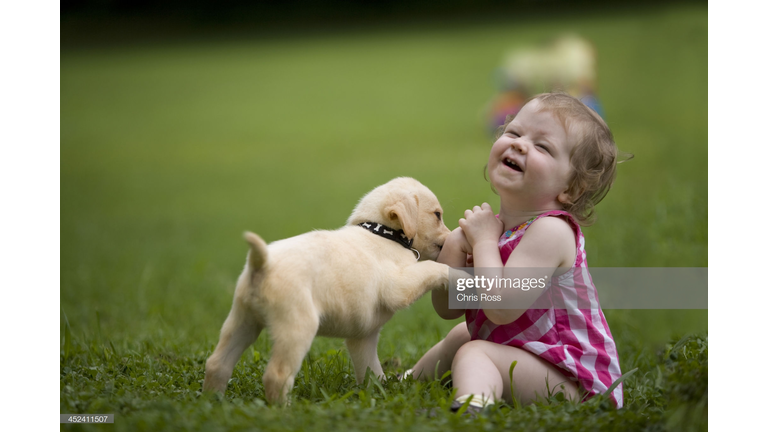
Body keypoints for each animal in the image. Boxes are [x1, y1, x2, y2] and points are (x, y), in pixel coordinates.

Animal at [204, 176, 452, 404]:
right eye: (437, 215)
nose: (450, 236)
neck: (382, 232)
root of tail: (262, 263)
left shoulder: (364, 336)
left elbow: (371, 371)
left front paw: (379, 393)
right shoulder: (399, 286)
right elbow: (430, 269)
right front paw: (454, 272)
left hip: (242, 321)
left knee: (217, 364)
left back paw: (213, 401)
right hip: (296, 327)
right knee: (276, 376)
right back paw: (284, 411)